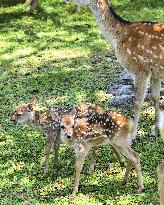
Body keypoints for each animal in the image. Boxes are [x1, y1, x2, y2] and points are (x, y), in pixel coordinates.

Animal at [65, 0, 164, 141]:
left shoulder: (139, 69)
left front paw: (132, 136)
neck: (118, 37)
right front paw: (155, 131)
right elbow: (155, 97)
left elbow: (137, 102)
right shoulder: (154, 73)